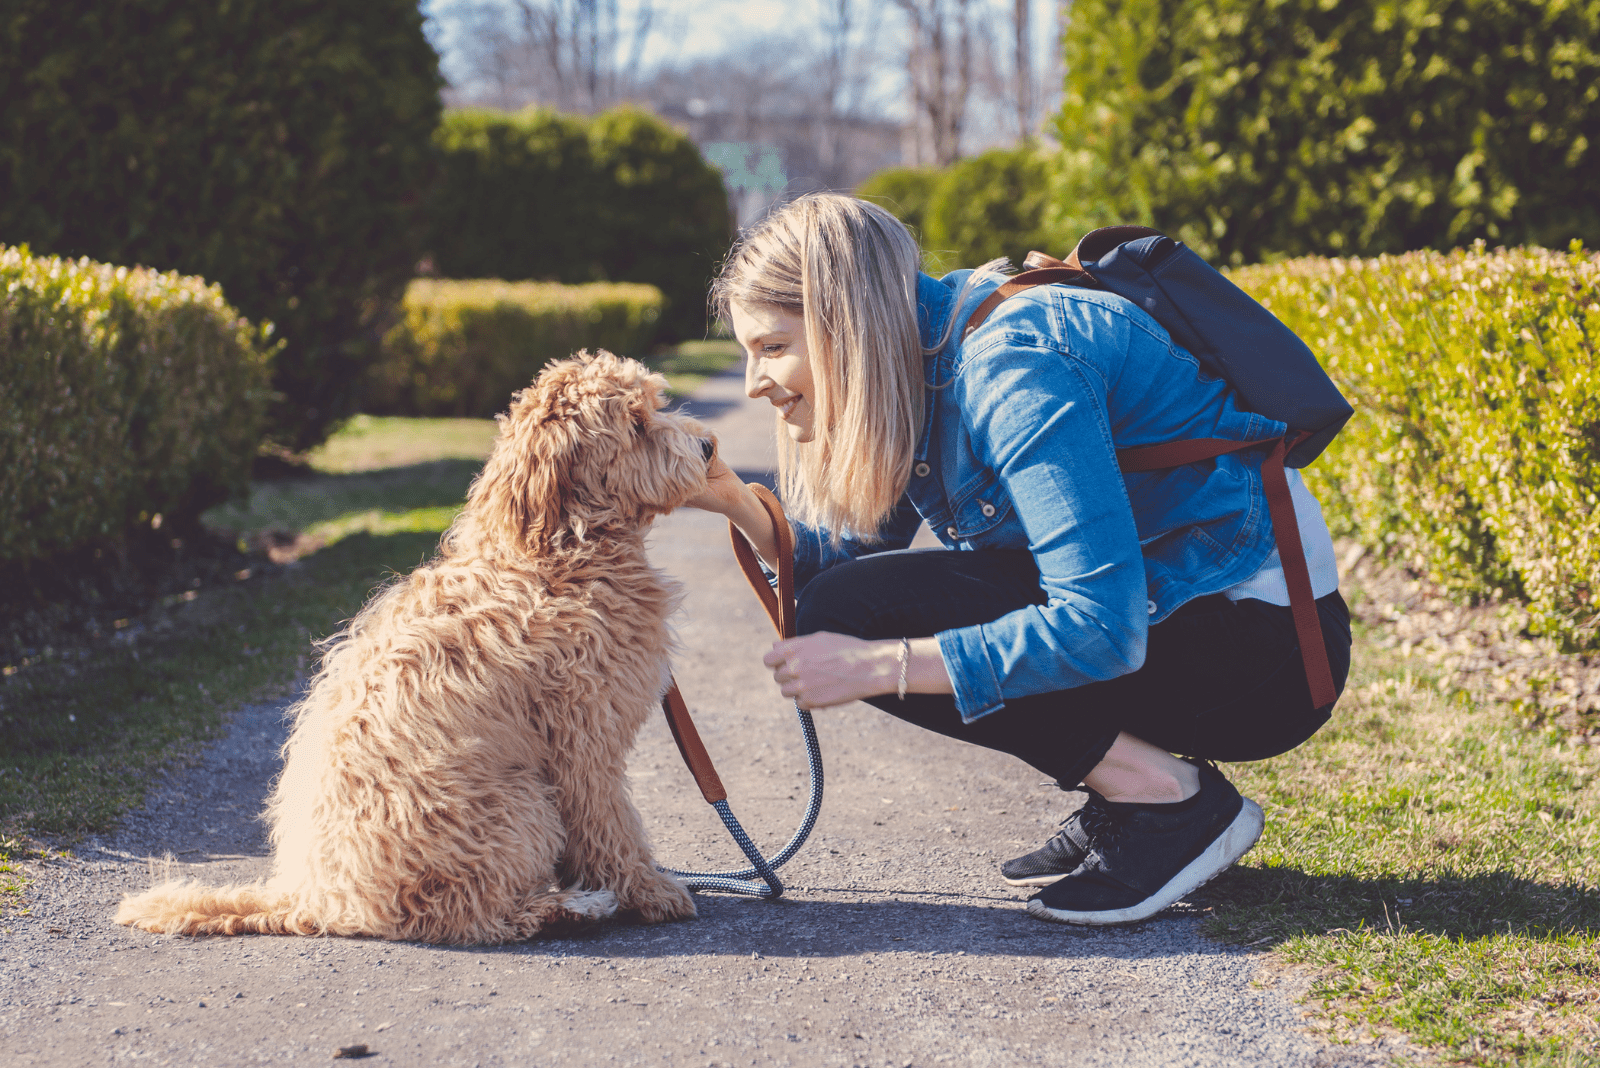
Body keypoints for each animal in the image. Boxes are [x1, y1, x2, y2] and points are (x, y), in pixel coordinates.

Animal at [112, 350, 707, 940]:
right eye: (637, 424)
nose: (707, 447)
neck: (553, 557)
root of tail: (318, 897)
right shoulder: (583, 742)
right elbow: (611, 825)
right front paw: (648, 890)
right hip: (516, 805)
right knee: (470, 912)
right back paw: (569, 907)